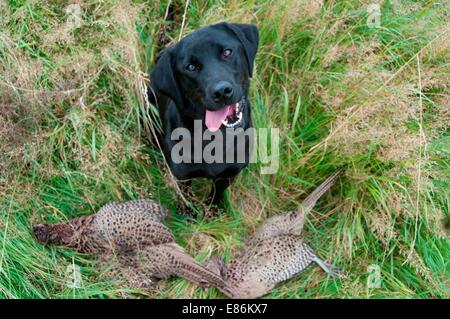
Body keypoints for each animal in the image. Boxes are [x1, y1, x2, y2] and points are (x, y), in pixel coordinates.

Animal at [148, 22, 258, 208]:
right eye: (191, 67)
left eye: (227, 52)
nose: (222, 92)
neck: (216, 138)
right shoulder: (182, 176)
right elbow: (186, 199)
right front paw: (188, 212)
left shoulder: (229, 174)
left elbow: (215, 195)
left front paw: (212, 210)